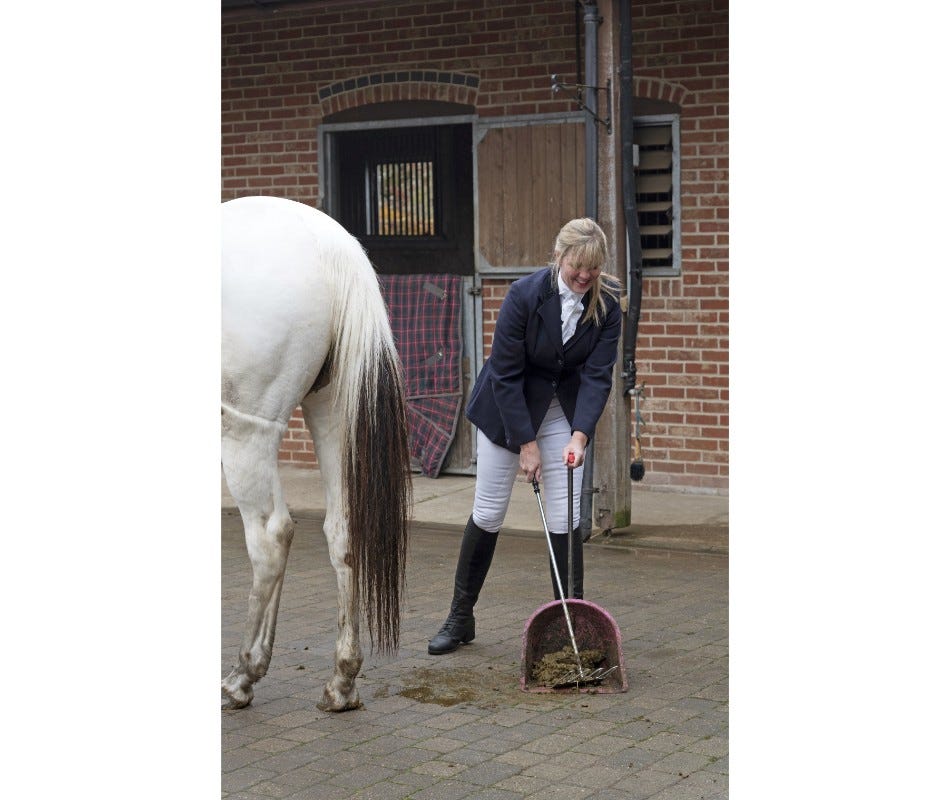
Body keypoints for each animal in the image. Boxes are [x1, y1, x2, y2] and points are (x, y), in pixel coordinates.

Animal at [225, 195, 414, 712]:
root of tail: (332, 247)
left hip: (245, 431)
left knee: (271, 538)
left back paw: (243, 675)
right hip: (332, 413)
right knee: (342, 530)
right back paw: (341, 680)